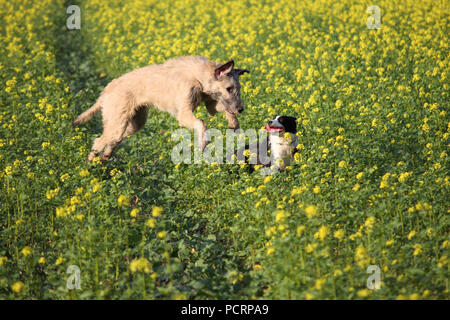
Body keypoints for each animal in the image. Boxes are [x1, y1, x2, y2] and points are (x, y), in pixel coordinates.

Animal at [73, 56, 250, 161]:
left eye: (238, 89)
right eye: (229, 88)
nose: (241, 109)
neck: (198, 76)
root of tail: (107, 90)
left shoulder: (211, 104)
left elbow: (224, 108)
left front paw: (234, 123)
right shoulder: (184, 114)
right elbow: (202, 123)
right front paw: (203, 143)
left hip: (133, 124)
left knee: (112, 141)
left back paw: (104, 158)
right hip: (118, 124)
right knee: (99, 141)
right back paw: (90, 166)